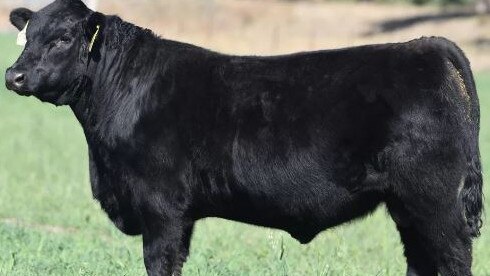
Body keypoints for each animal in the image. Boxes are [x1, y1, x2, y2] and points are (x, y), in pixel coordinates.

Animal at [3, 0, 484, 276]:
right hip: (406, 205)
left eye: (63, 37)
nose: (14, 75)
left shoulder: (161, 208)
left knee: (453, 258)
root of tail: (426, 45)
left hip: (434, 201)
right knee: (421, 261)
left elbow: (160, 262)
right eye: (26, 36)